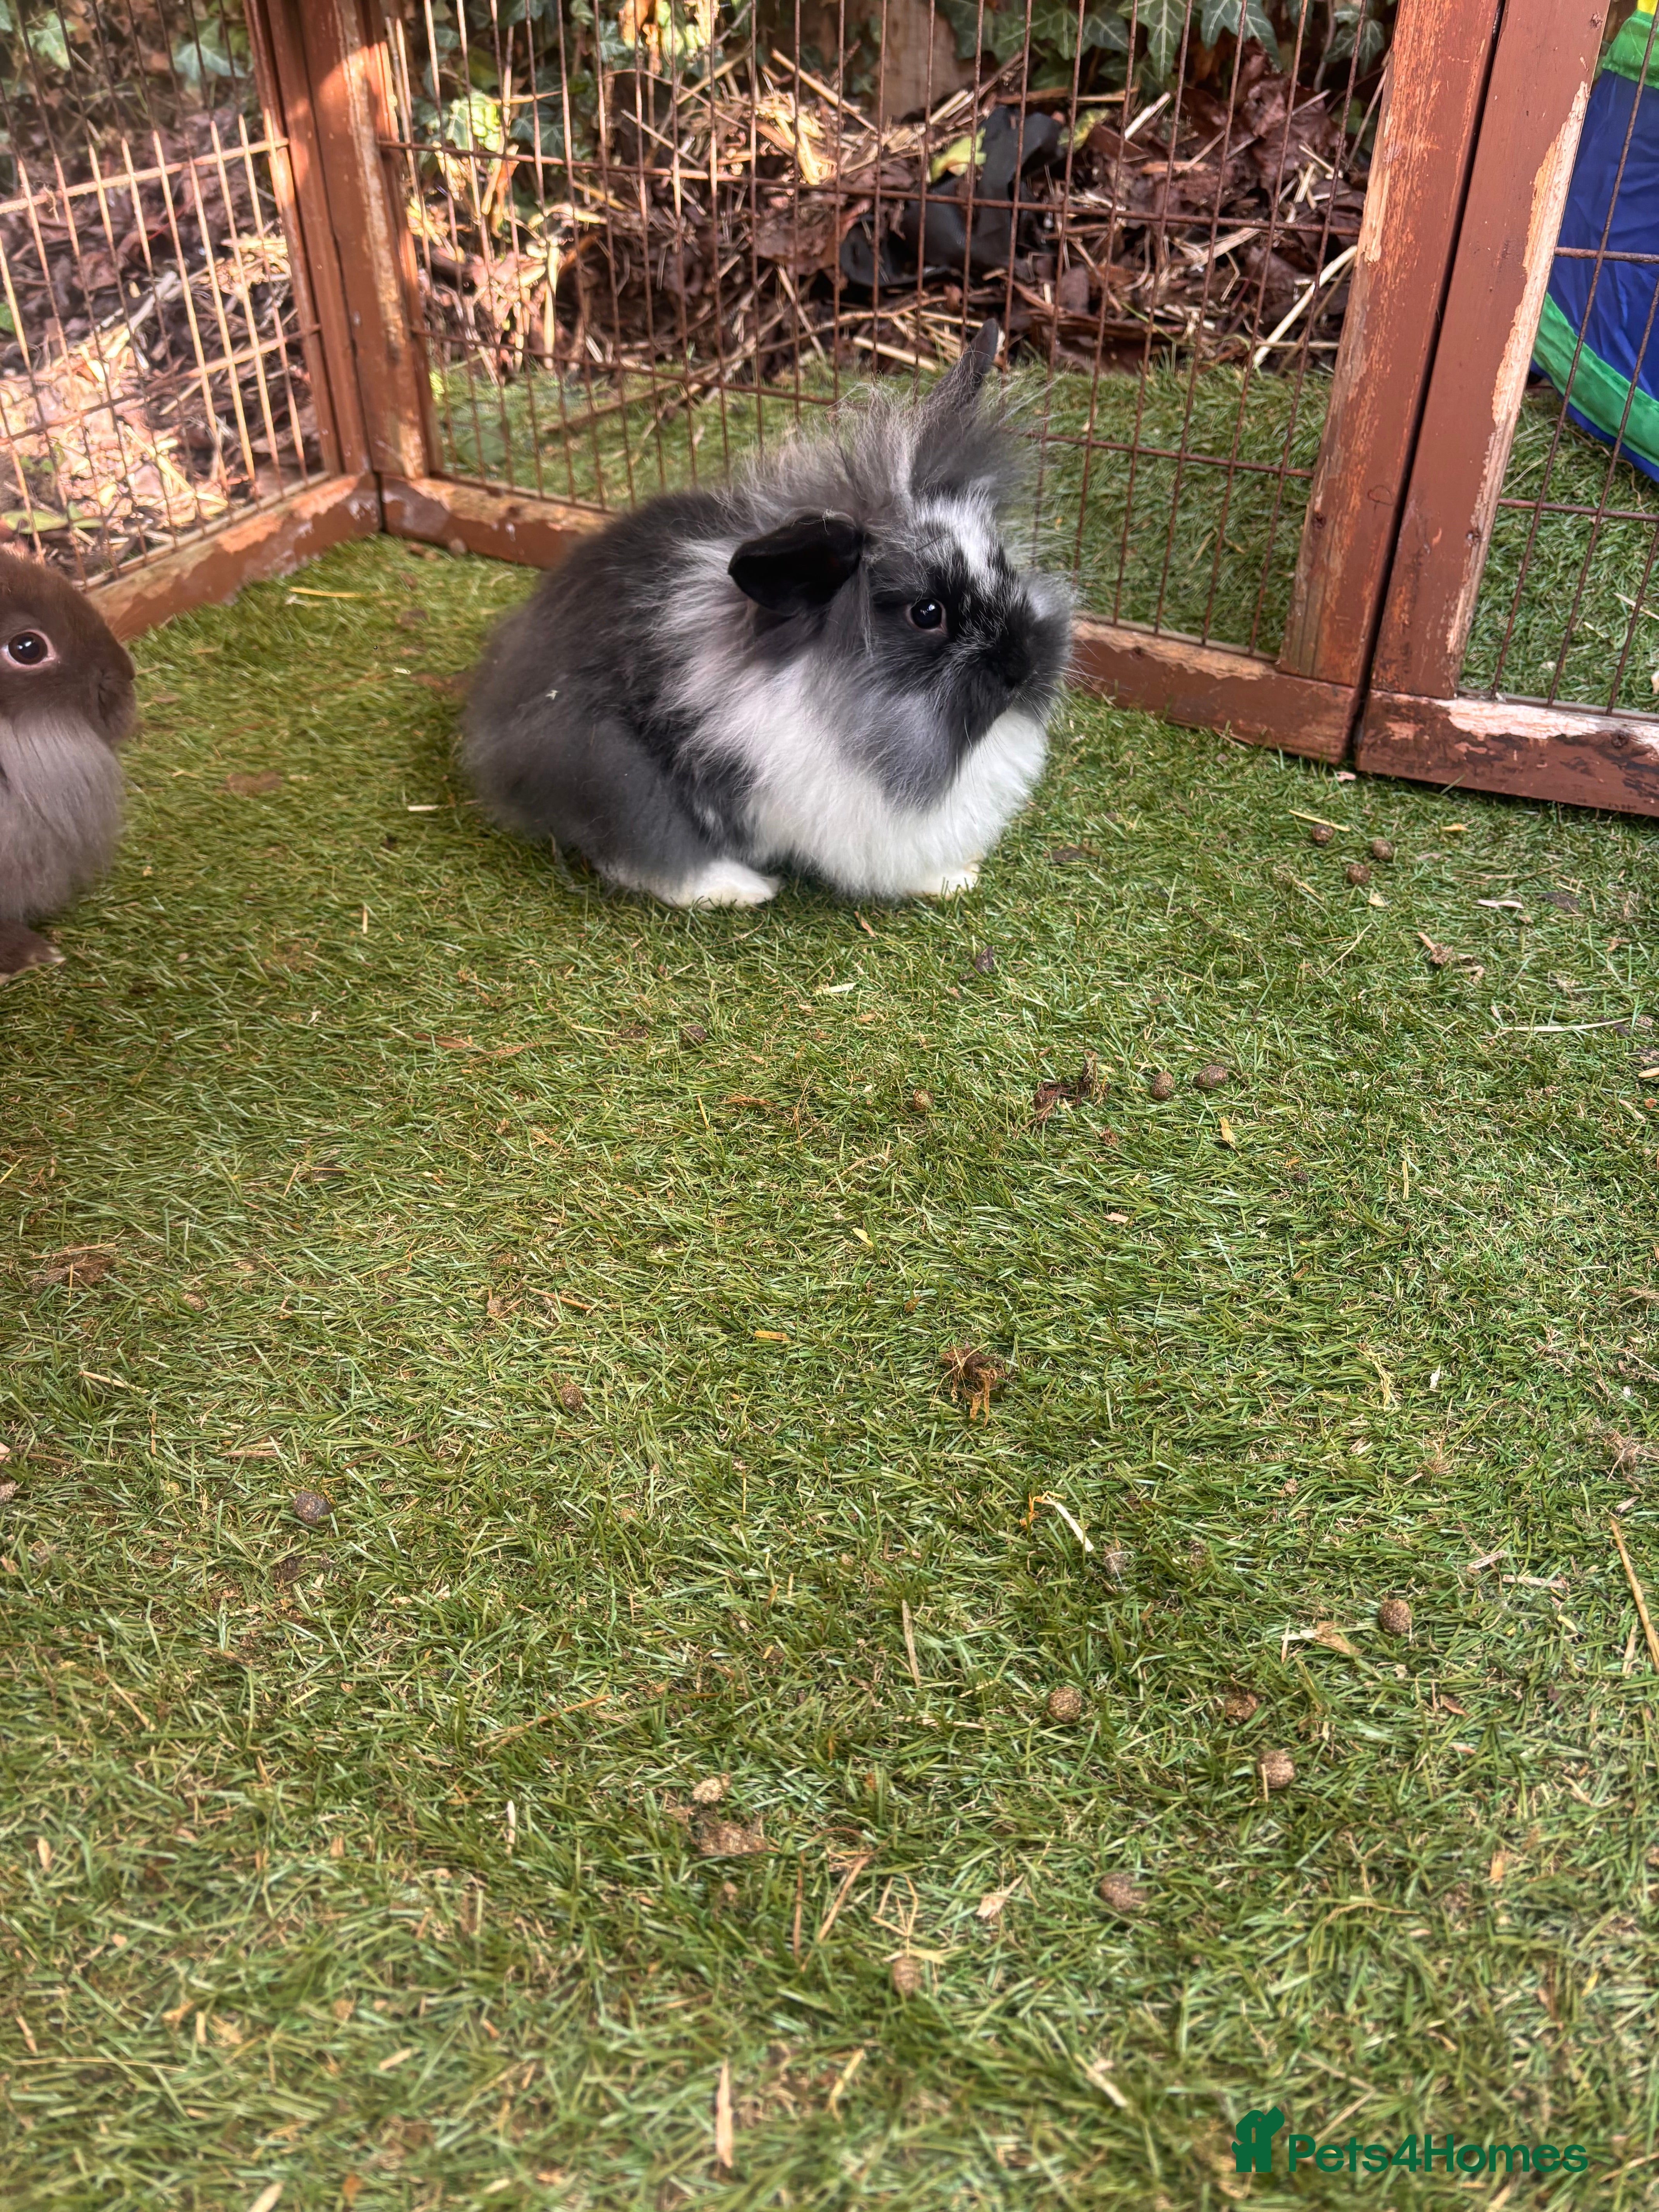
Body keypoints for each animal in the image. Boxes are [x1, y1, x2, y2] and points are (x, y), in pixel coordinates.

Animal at [462, 320, 1072, 907]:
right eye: (927, 613)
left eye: (1002, 562)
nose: (1024, 668)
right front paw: (951, 879)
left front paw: (955, 876)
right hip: (605, 762)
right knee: (643, 851)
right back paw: (736, 889)